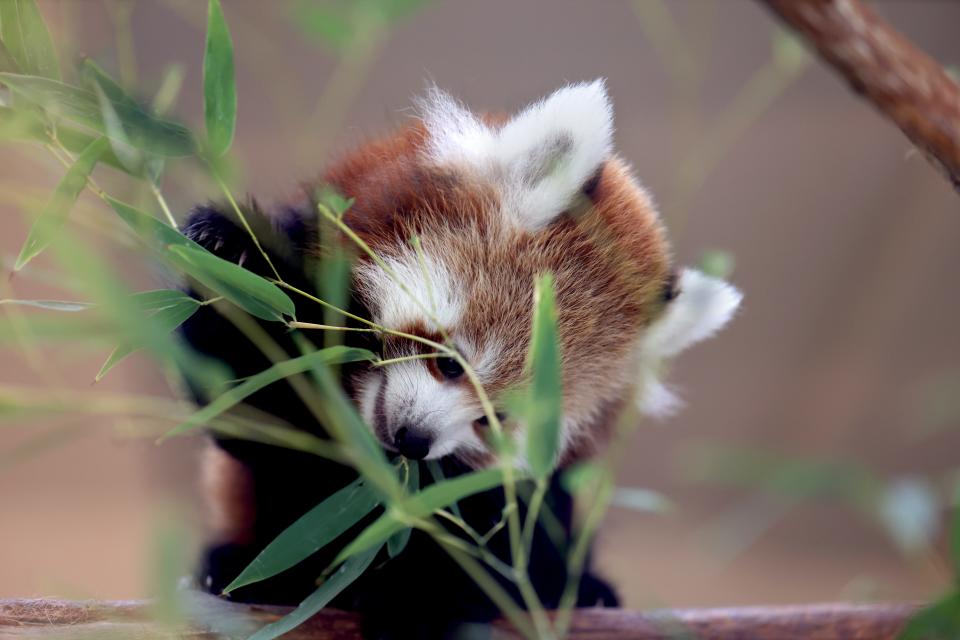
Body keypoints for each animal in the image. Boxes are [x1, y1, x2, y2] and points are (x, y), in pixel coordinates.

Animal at [178, 81, 744, 640]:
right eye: (451, 363)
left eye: (496, 422)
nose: (414, 440)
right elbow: (254, 403)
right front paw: (230, 248)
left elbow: (481, 542)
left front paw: (415, 610)